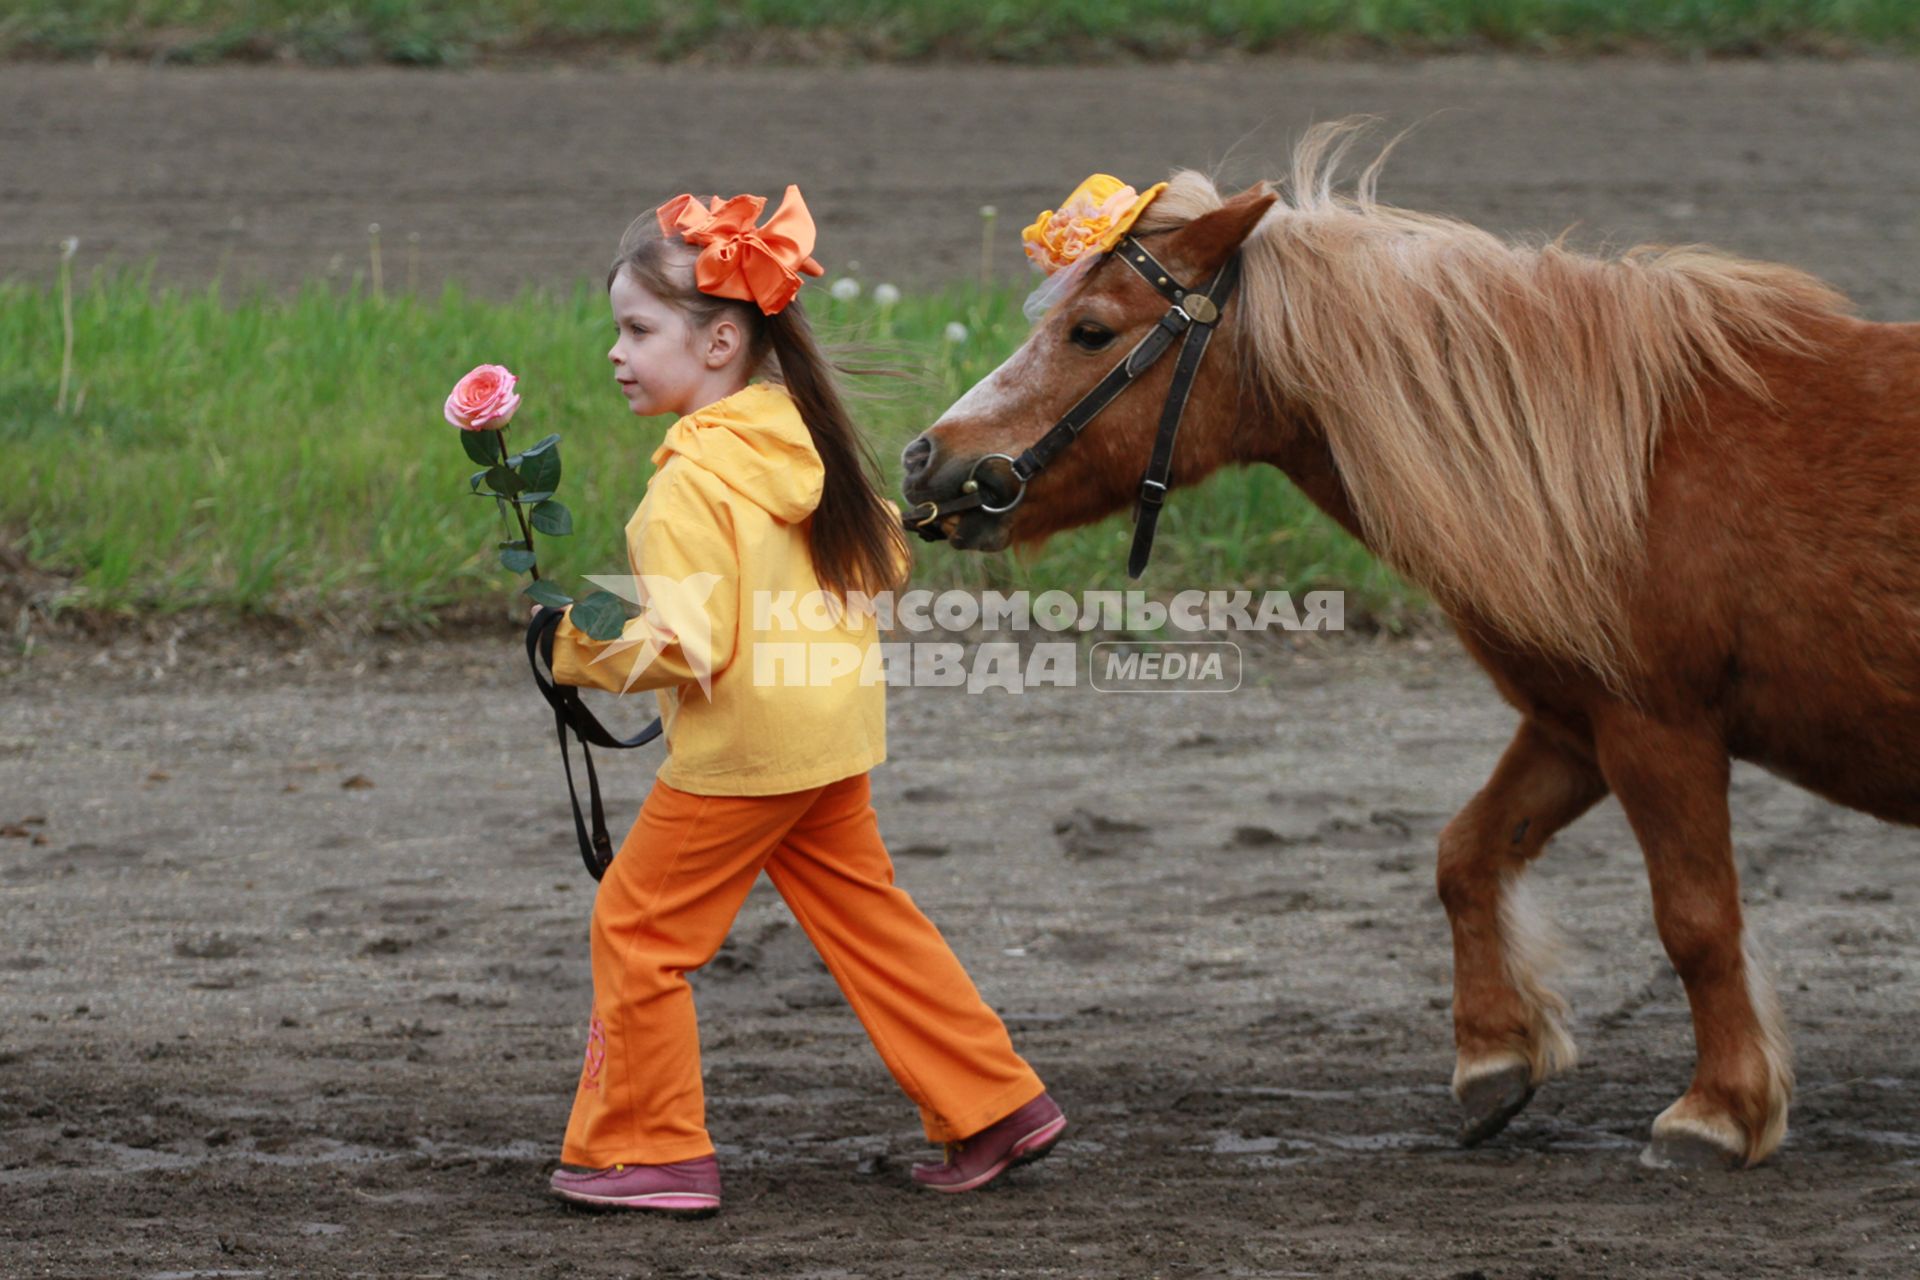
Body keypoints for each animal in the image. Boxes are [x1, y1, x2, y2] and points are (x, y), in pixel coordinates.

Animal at [902, 122, 1920, 1174]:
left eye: (1092, 331)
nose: (923, 459)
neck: (1628, 469)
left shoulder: (1660, 733)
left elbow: (1696, 922)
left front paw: (1718, 1111)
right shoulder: (1574, 725)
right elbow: (1465, 854)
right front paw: (1494, 1057)